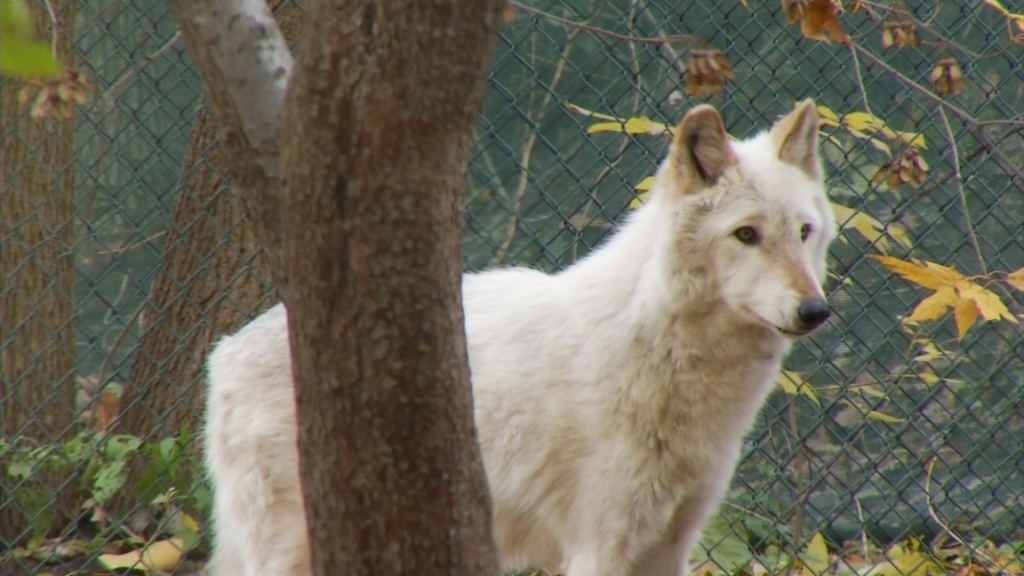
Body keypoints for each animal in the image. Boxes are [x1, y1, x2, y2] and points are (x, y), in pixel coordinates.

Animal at [203, 99, 835, 573]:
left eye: (804, 232)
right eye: (746, 235)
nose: (815, 311)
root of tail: (224, 350)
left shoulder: (669, 547)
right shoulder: (599, 548)